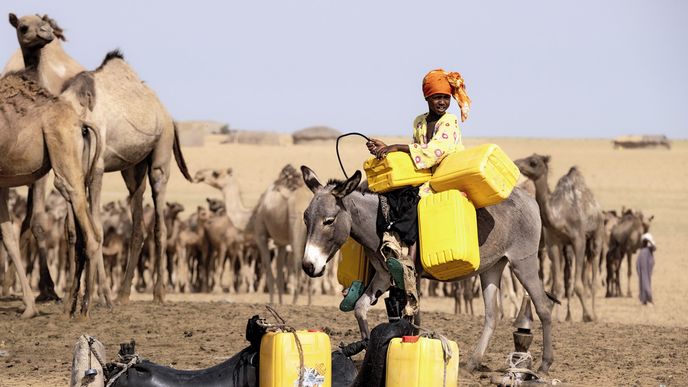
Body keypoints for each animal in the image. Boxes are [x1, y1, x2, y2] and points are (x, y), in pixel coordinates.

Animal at [0, 69, 103, 318]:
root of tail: (81, 123)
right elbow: (8, 237)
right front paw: (29, 307)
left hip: (63, 152)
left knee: (90, 232)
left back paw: (84, 310)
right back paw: (69, 308)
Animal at [58, 50, 194, 308]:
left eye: (83, 131)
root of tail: (168, 114)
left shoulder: (96, 170)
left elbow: (96, 227)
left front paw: (102, 295)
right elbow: (72, 231)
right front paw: (71, 296)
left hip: (161, 155)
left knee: (159, 223)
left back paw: (158, 294)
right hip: (132, 169)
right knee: (137, 221)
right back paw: (123, 294)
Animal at [298, 168, 556, 374]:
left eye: (329, 221)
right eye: (305, 218)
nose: (308, 266)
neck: (383, 221)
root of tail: (530, 200)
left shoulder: (413, 277)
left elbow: (414, 318)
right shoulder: (384, 276)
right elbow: (361, 307)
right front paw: (365, 345)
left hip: (523, 262)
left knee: (543, 306)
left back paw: (545, 364)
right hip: (492, 267)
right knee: (493, 313)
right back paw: (472, 364)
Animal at [512, 153, 604, 322]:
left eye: (533, 162)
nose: (516, 163)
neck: (560, 217)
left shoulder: (578, 240)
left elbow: (578, 285)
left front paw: (587, 315)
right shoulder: (554, 243)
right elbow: (558, 285)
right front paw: (555, 317)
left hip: (597, 235)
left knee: (593, 275)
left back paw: (593, 314)